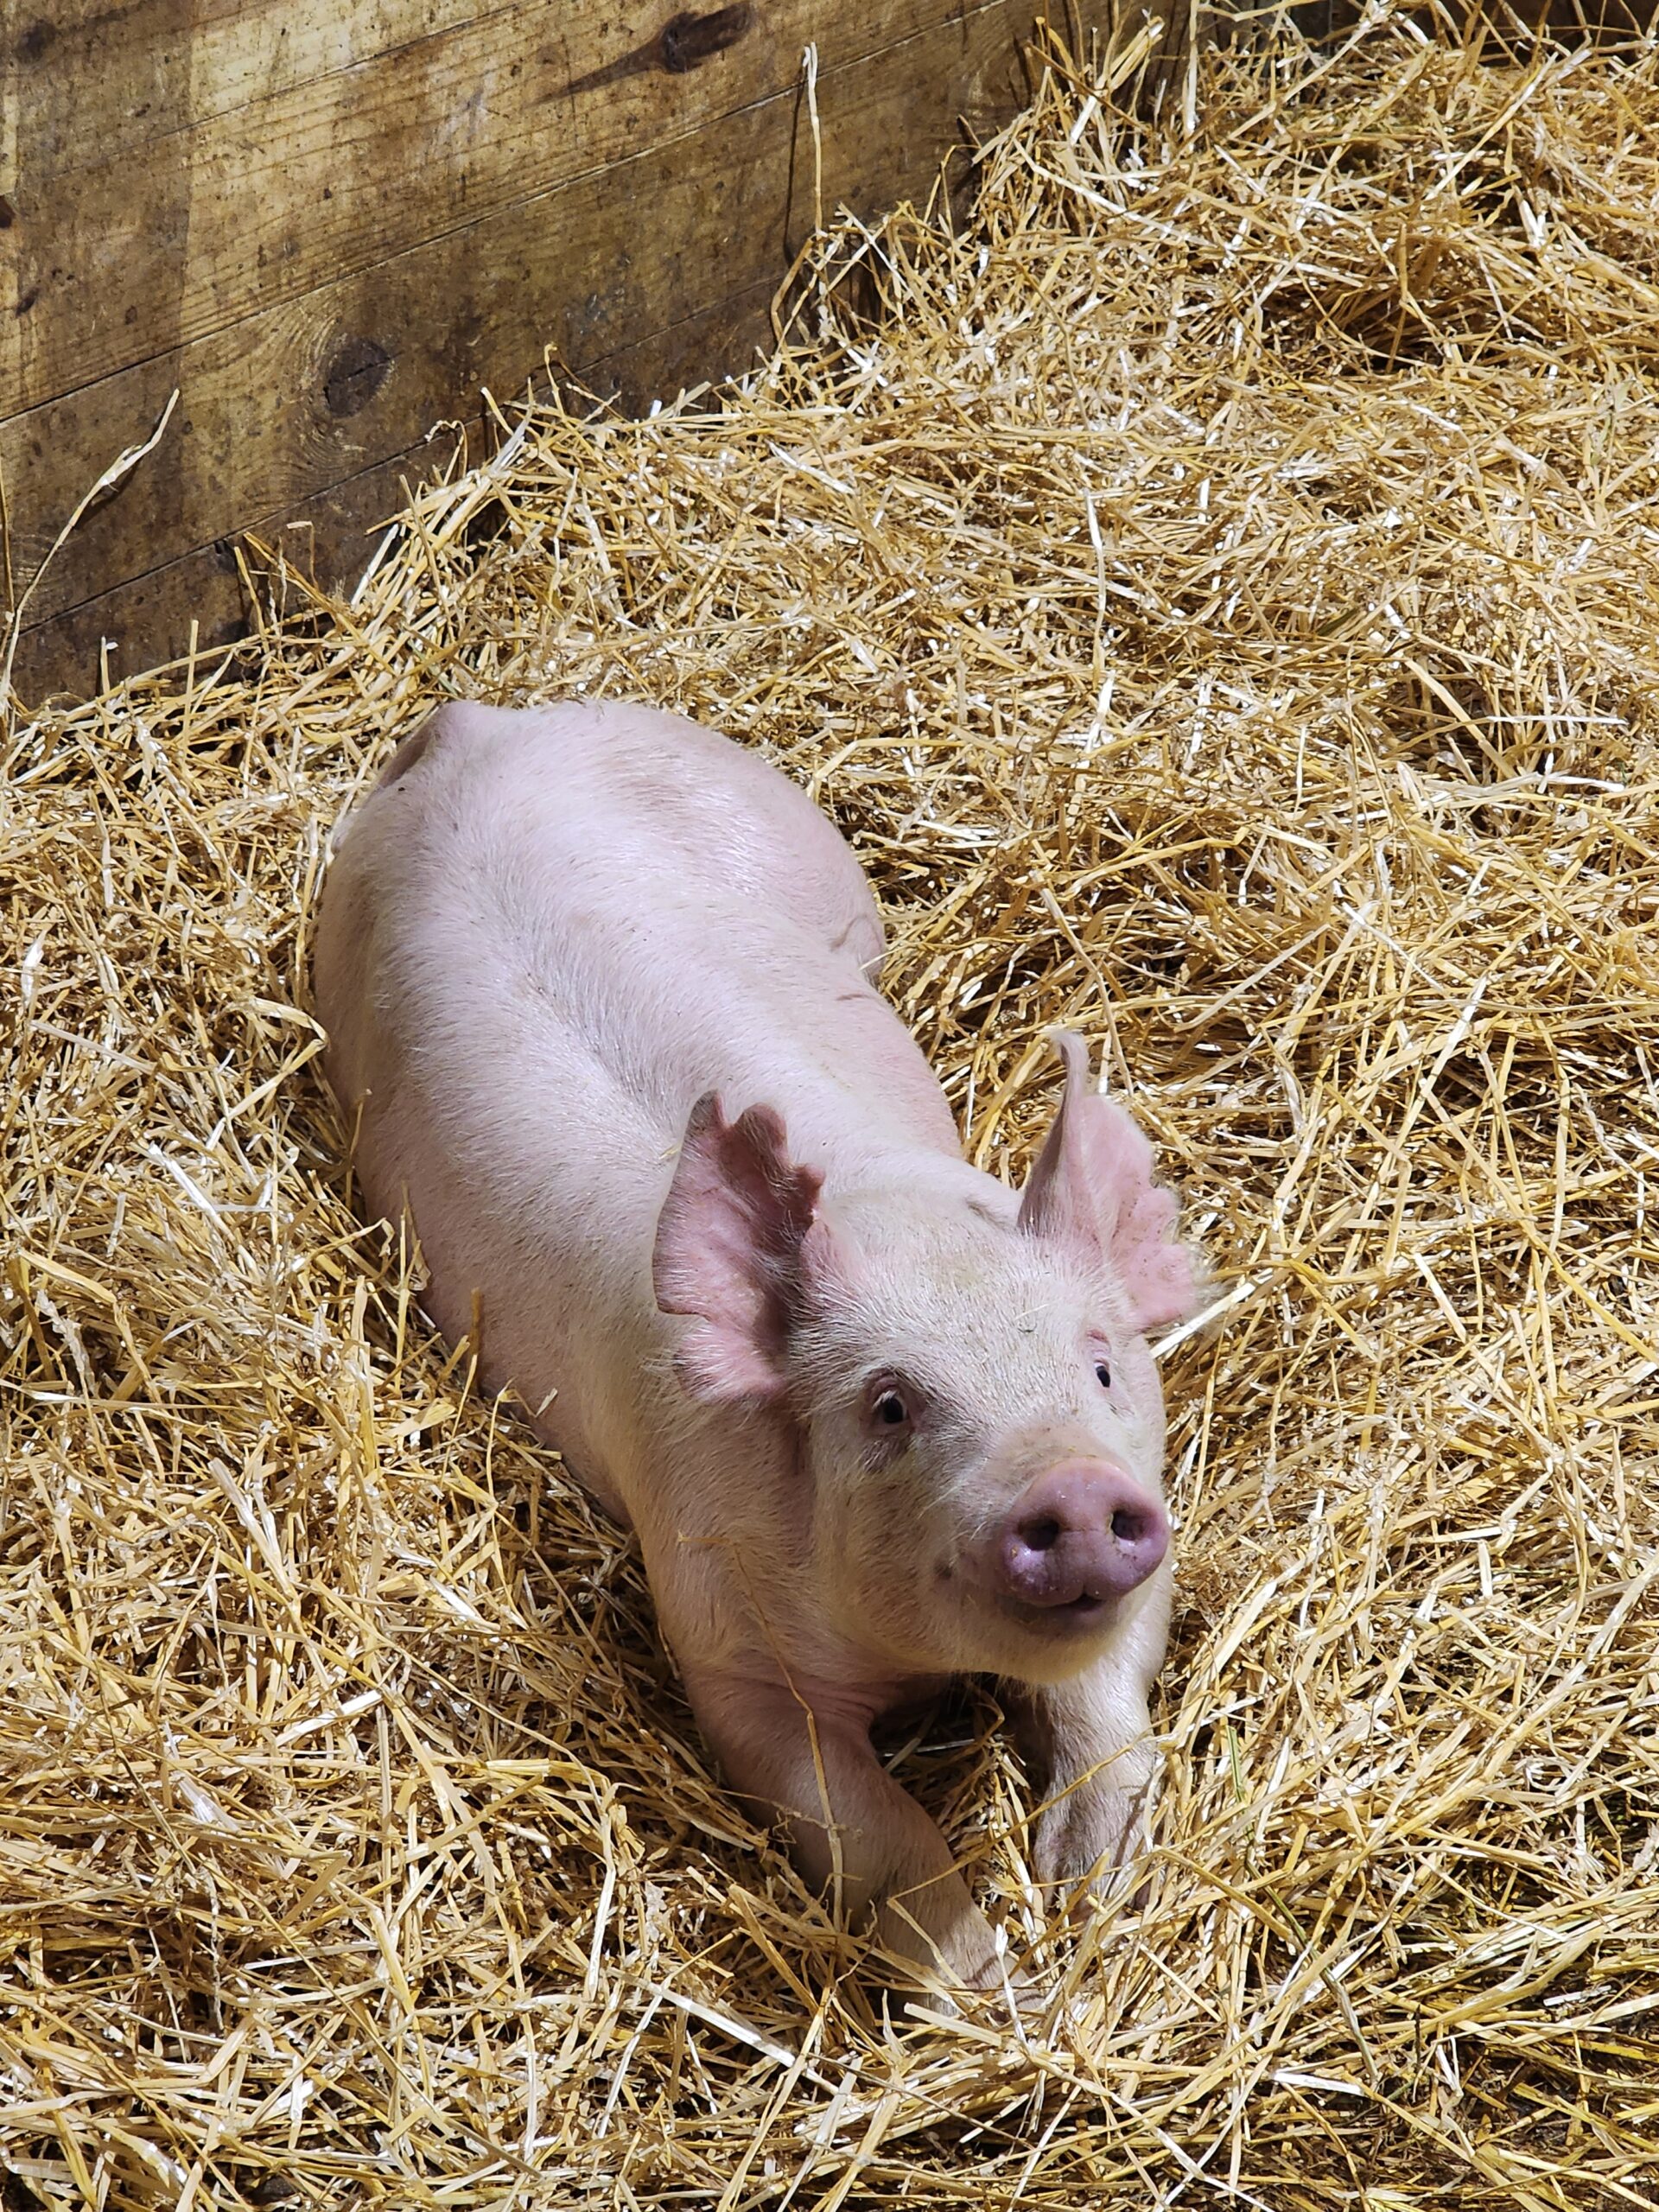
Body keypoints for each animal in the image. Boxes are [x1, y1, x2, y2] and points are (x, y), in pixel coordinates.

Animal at [312, 697, 1199, 1993]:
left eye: (1097, 1367)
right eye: (889, 1406)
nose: (1071, 1488)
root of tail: (478, 723)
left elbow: (1110, 1704)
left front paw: (1090, 1890)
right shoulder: (720, 1639)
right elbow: (862, 1823)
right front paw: (983, 1980)